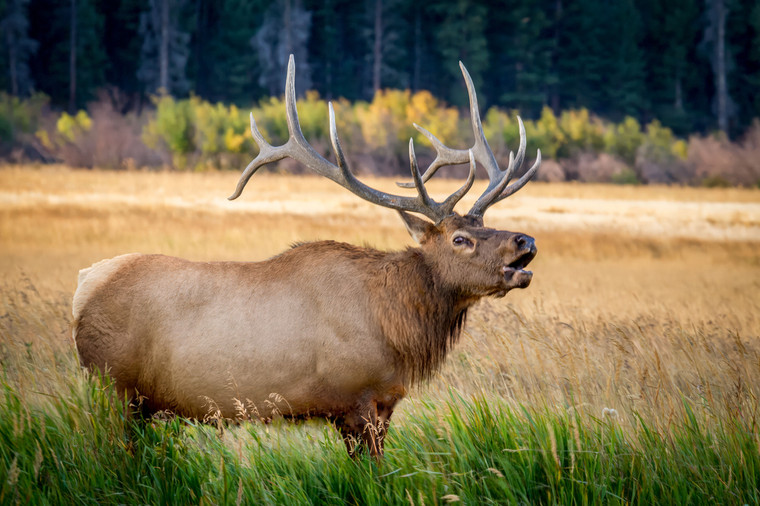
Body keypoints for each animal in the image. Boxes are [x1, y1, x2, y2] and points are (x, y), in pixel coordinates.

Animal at [72, 55, 540, 458]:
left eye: (485, 224)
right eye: (460, 238)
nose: (525, 241)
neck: (396, 327)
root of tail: (83, 286)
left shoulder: (385, 403)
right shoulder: (355, 400)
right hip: (113, 386)